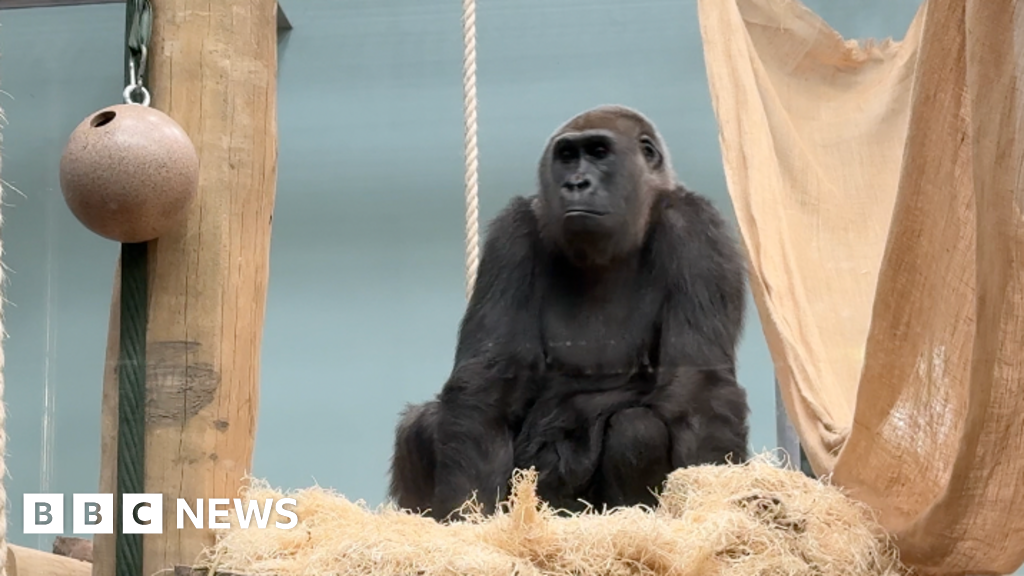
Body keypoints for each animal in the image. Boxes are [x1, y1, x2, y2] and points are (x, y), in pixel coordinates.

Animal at [388, 104, 750, 522]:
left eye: (598, 152)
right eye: (567, 156)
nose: (576, 183)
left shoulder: (697, 230)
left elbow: (699, 390)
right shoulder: (512, 233)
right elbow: (485, 382)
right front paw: (468, 516)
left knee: (636, 427)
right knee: (424, 423)